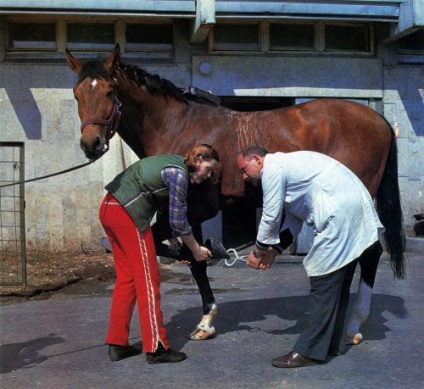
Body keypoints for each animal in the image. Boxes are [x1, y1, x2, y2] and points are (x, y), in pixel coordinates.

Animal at [65, 44, 404, 344]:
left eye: (110, 92)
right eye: (77, 94)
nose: (91, 143)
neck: (177, 126)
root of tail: (380, 120)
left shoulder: (195, 208)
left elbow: (181, 251)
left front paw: (206, 312)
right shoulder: (188, 211)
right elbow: (194, 258)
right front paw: (205, 317)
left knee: (369, 252)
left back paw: (353, 325)